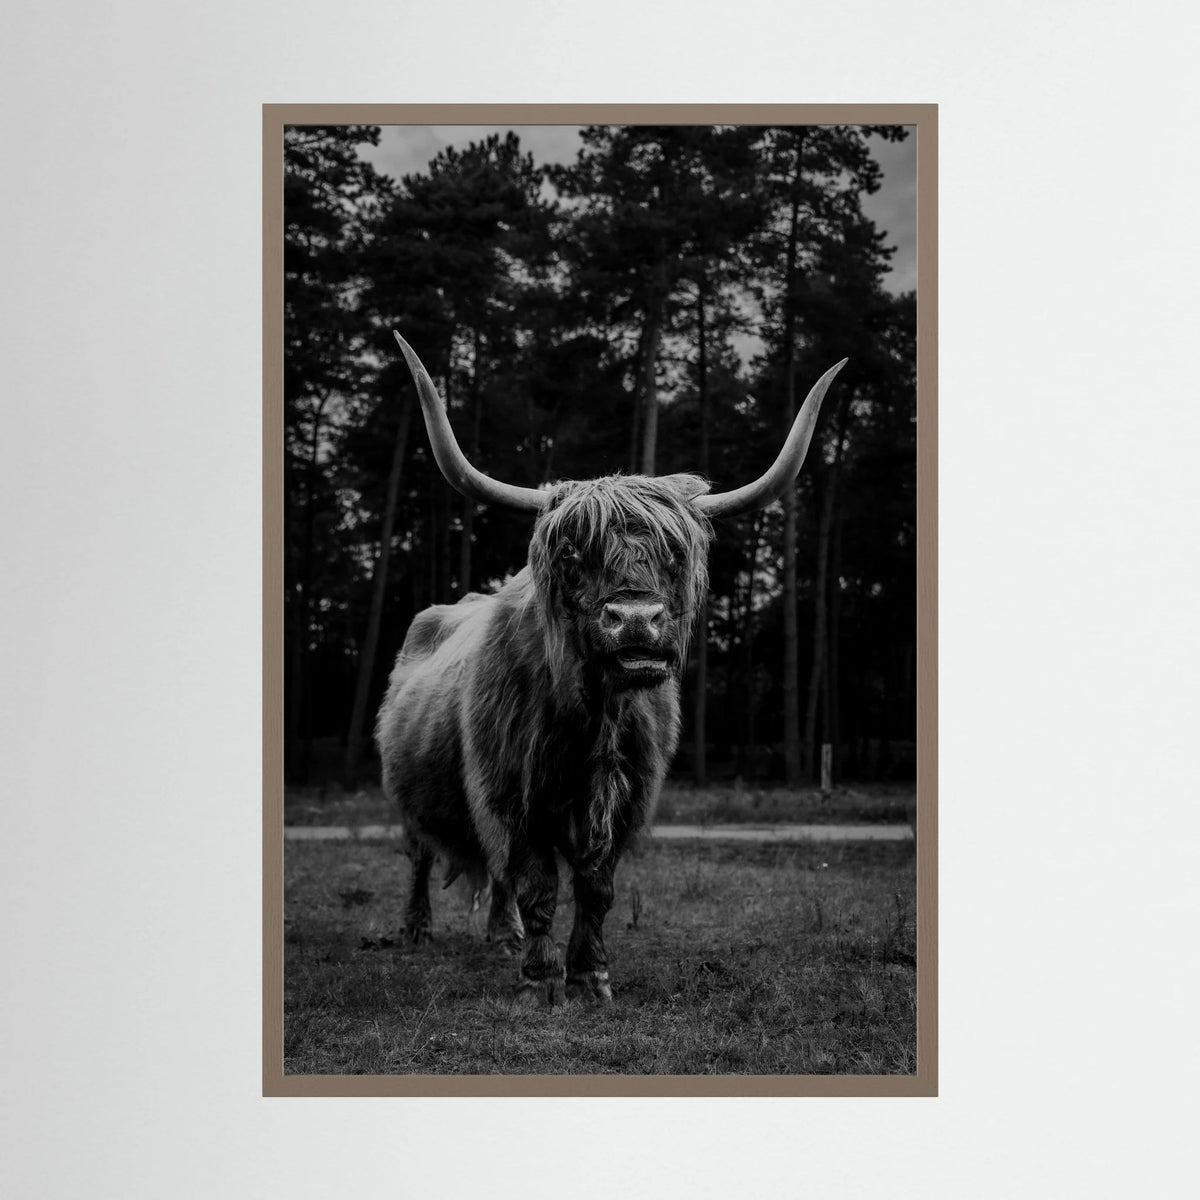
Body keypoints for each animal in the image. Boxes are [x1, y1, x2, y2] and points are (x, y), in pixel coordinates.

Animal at [375, 332, 845, 1006]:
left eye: (674, 553)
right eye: (574, 552)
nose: (636, 621)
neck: (592, 719)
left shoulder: (627, 801)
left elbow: (596, 890)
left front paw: (591, 976)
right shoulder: (511, 794)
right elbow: (539, 886)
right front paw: (541, 983)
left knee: (492, 874)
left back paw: (502, 937)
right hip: (406, 790)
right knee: (420, 856)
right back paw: (418, 931)